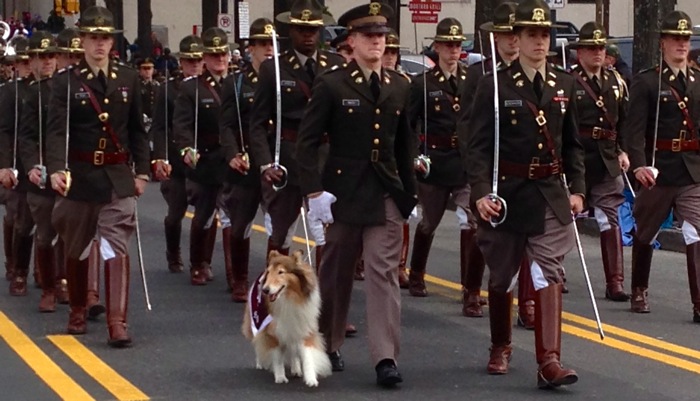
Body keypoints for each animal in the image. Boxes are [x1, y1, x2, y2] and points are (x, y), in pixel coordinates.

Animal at [242, 248, 332, 386]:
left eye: (281, 272)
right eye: (269, 272)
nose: (265, 290)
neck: (290, 299)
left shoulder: (304, 328)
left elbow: (308, 356)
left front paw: (311, 379)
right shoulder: (273, 332)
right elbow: (278, 358)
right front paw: (280, 377)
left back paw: (296, 369)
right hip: (255, 321)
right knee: (257, 339)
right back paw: (260, 362)